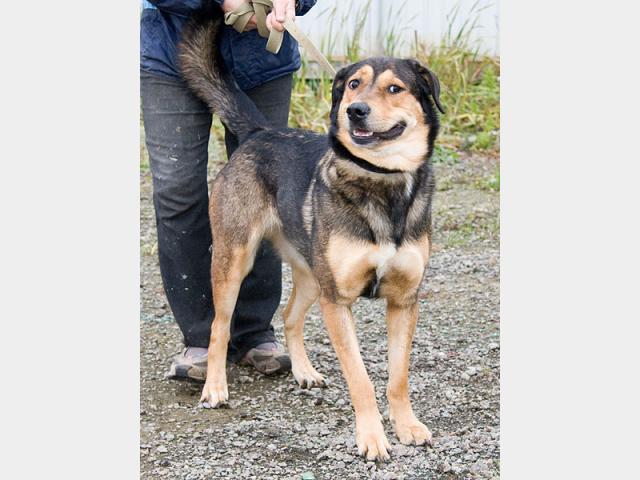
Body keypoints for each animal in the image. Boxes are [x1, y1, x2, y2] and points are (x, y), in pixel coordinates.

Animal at [178, 4, 442, 462]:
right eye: (353, 84)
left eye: (394, 88)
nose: (355, 110)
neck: (383, 181)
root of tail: (260, 132)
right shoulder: (338, 302)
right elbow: (361, 379)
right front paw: (372, 438)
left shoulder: (404, 301)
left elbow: (398, 377)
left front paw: (407, 427)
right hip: (234, 259)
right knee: (219, 327)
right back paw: (214, 387)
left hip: (311, 274)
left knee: (288, 316)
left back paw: (302, 371)